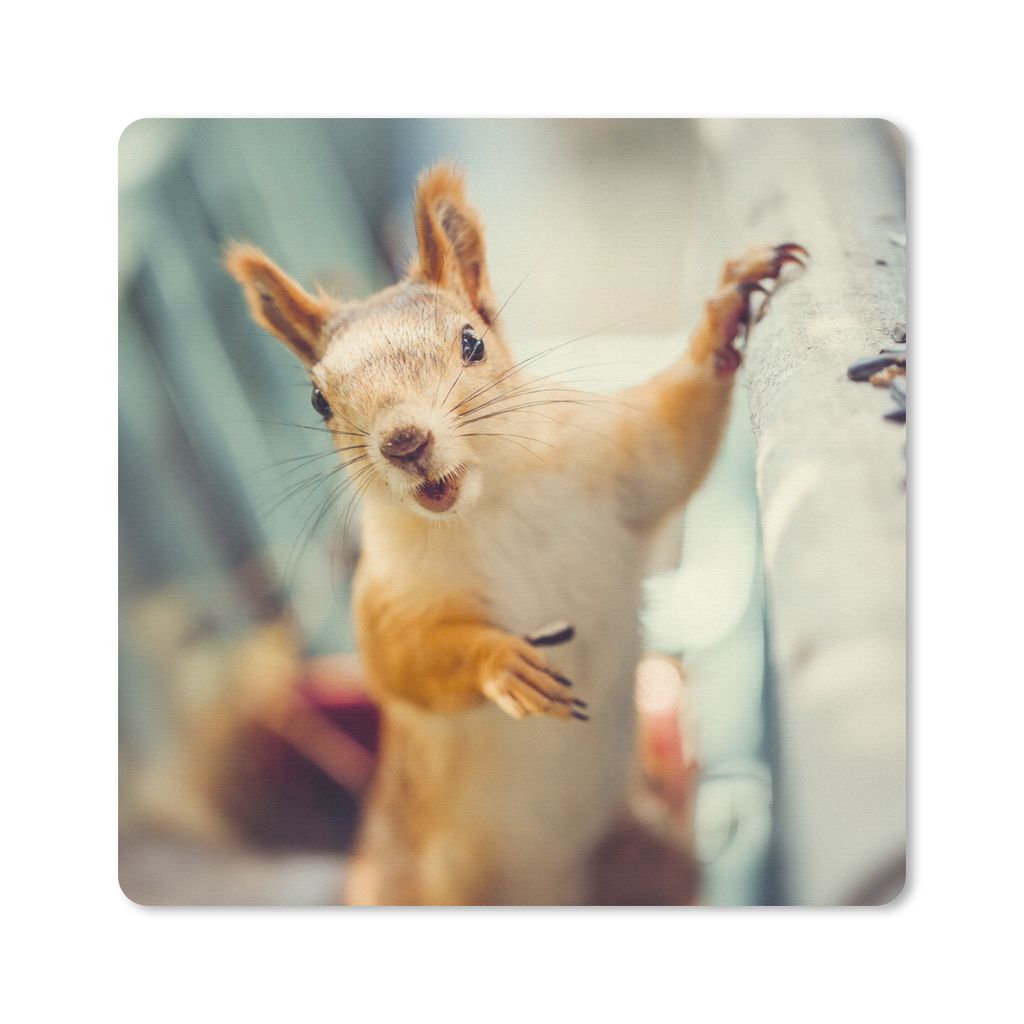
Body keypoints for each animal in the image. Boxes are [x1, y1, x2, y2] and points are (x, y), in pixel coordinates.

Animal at [225, 164, 806, 905]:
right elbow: (404, 661)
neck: (490, 501)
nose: (405, 443)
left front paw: (730, 305)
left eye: (472, 341)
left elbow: (675, 438)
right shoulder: (389, 598)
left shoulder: (620, 462)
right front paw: (500, 662)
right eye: (318, 400)